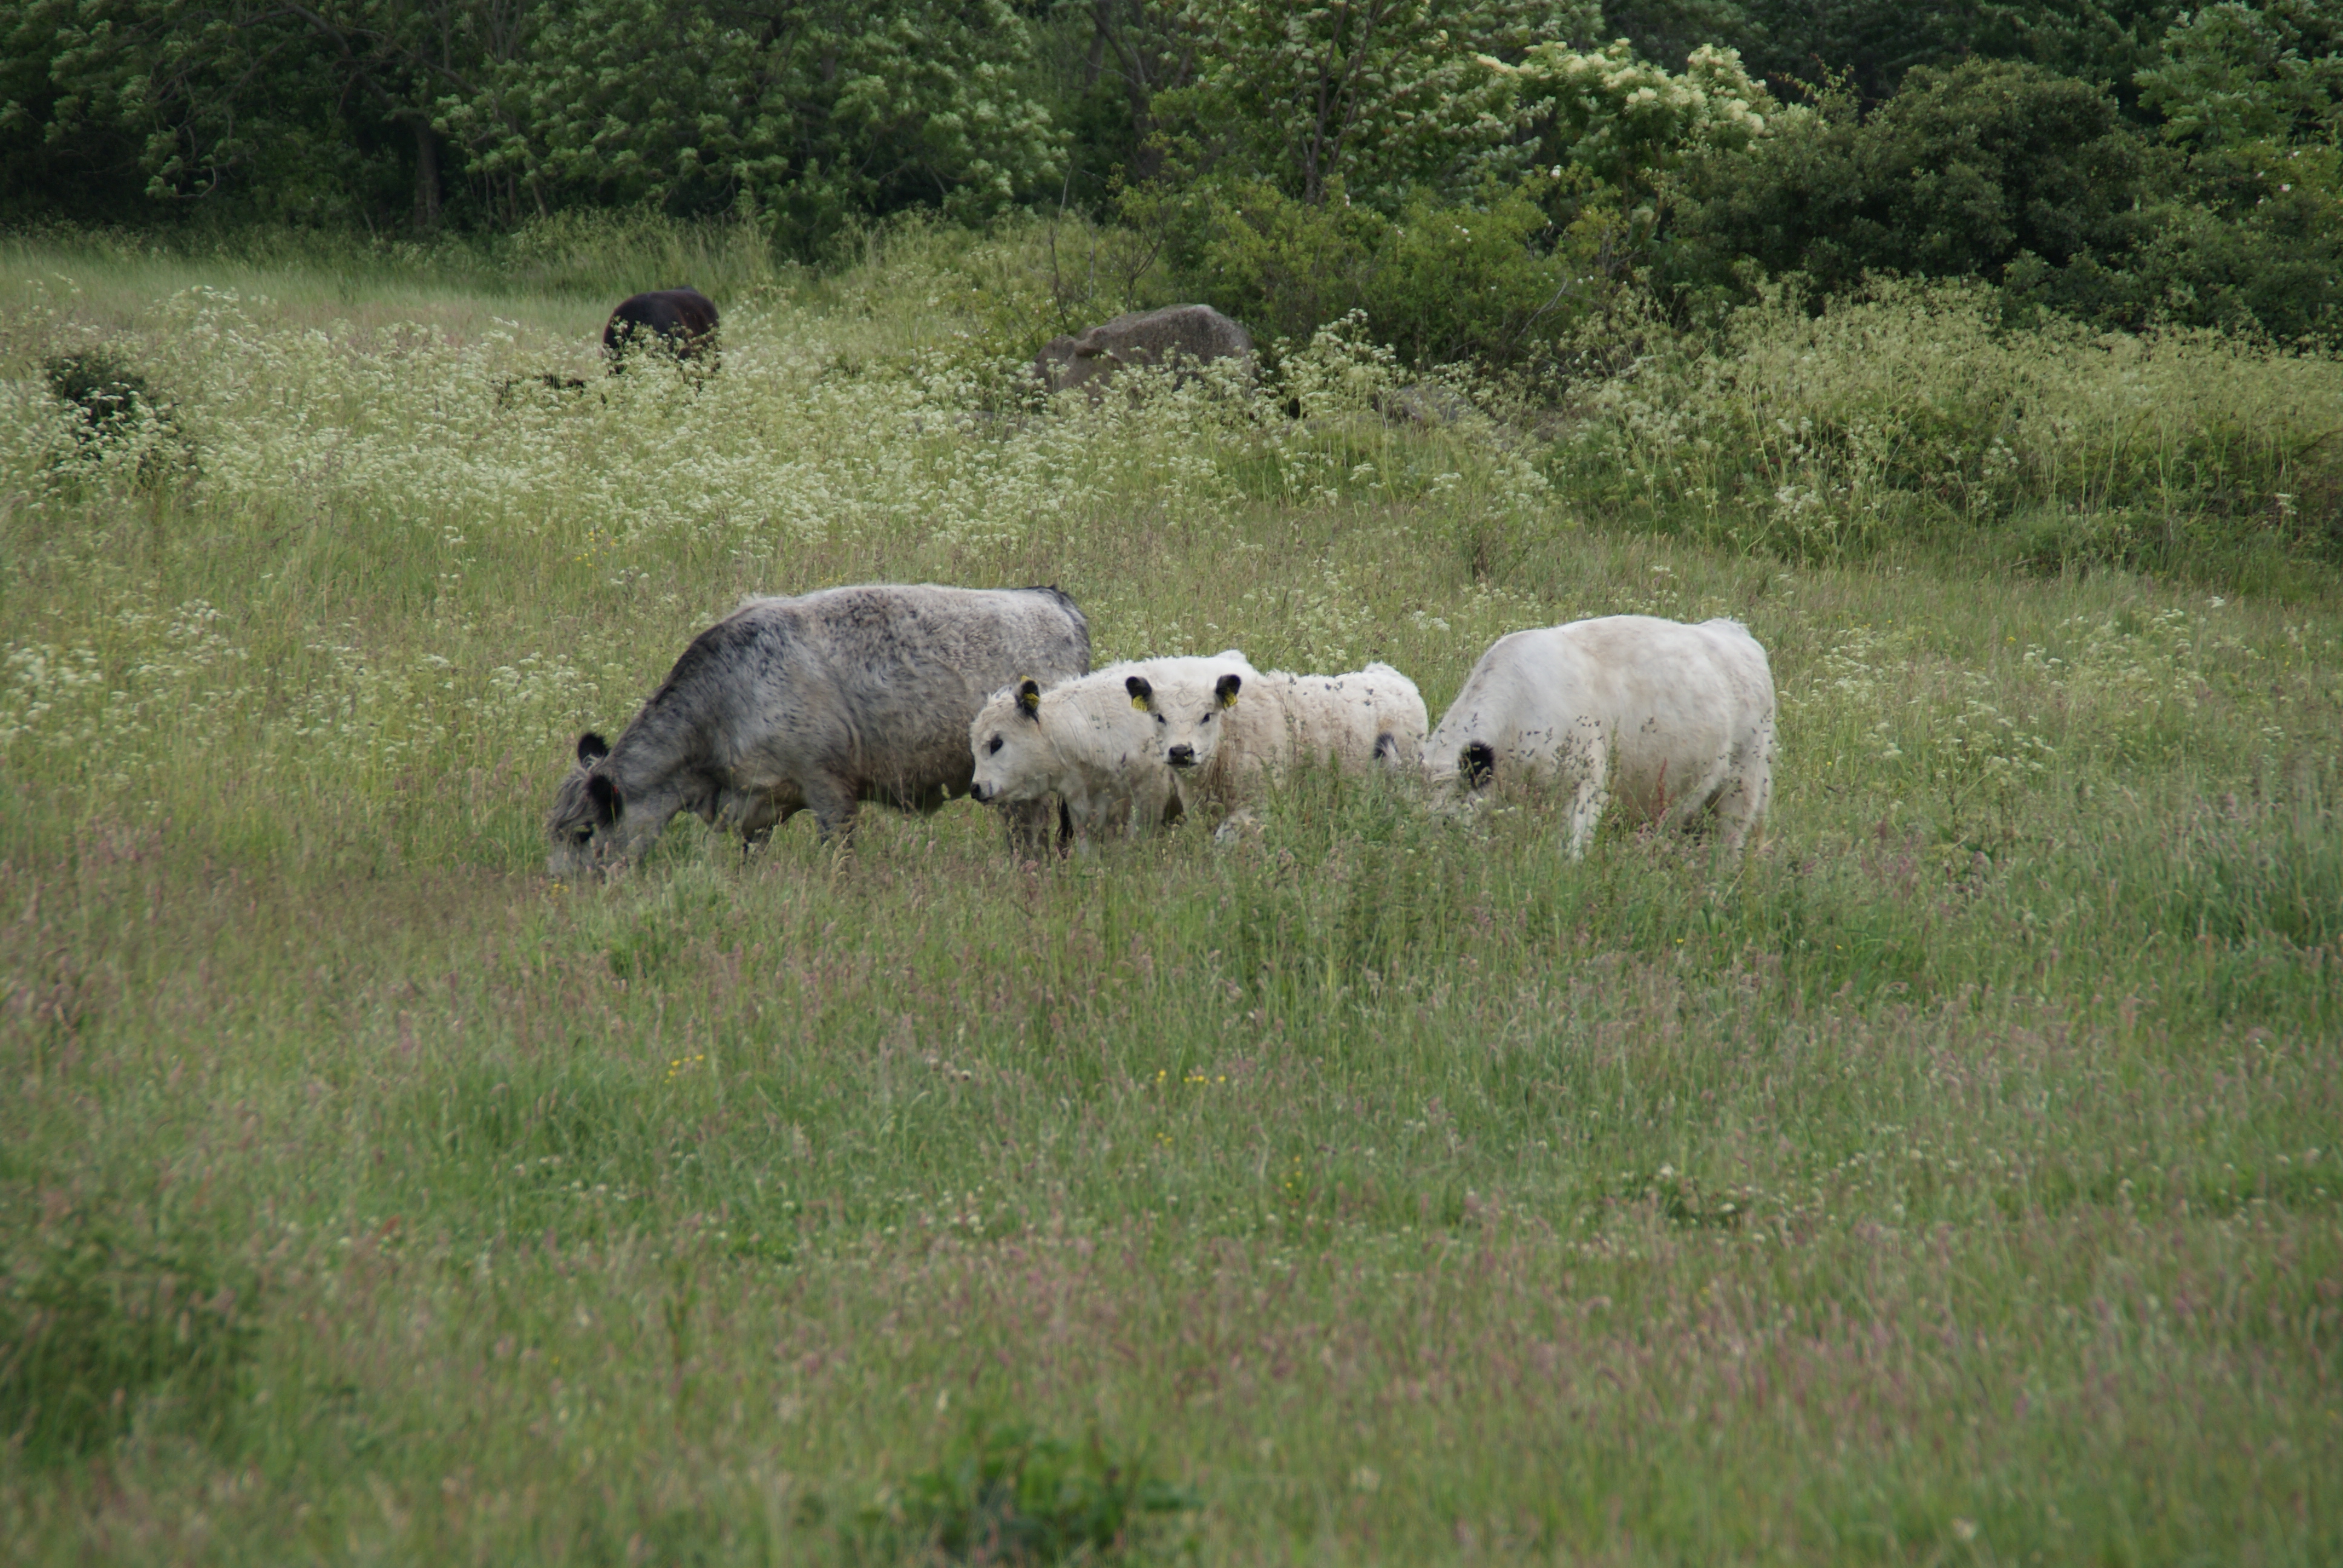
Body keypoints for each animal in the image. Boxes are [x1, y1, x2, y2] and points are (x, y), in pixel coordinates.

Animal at [548, 583, 1087, 877]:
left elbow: (838, 859)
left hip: (1026, 795)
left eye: (583, 832)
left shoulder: (830, 792)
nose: (562, 889)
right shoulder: (757, 810)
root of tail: (1053, 601)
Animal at [1424, 609, 1771, 858]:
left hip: (1743, 780)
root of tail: (1732, 630)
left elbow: (1569, 852)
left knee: (1728, 846)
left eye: (1447, 821)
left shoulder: (1586, 784)